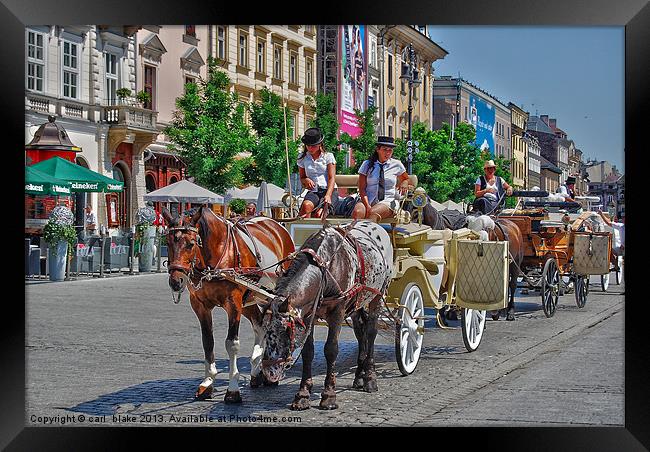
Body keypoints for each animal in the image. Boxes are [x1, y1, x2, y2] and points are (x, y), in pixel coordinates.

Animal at [162, 205, 294, 402]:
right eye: (168, 243)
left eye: (191, 244)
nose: (176, 281)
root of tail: (276, 225)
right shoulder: (200, 305)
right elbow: (207, 342)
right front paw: (207, 383)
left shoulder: (234, 304)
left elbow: (232, 344)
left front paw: (233, 389)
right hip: (251, 298)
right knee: (260, 325)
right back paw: (257, 370)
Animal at [258, 221, 390, 412]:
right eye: (264, 329)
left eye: (285, 330)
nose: (269, 371)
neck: (325, 269)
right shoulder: (308, 315)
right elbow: (308, 351)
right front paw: (303, 395)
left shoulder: (338, 311)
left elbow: (331, 349)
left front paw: (329, 395)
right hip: (358, 302)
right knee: (361, 334)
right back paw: (359, 376)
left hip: (378, 295)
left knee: (371, 332)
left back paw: (370, 379)